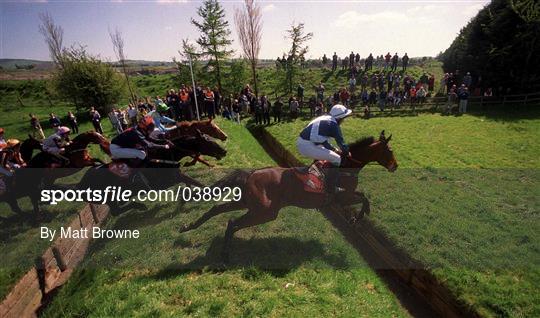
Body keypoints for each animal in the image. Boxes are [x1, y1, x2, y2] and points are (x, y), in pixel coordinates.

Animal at [180, 130, 396, 262]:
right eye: (390, 150)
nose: (396, 166)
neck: (347, 165)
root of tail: (252, 173)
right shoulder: (341, 196)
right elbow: (363, 197)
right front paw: (359, 216)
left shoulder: (340, 198)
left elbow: (360, 199)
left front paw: (353, 218)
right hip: (265, 211)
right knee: (233, 222)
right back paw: (224, 254)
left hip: (247, 202)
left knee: (217, 209)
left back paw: (188, 227)